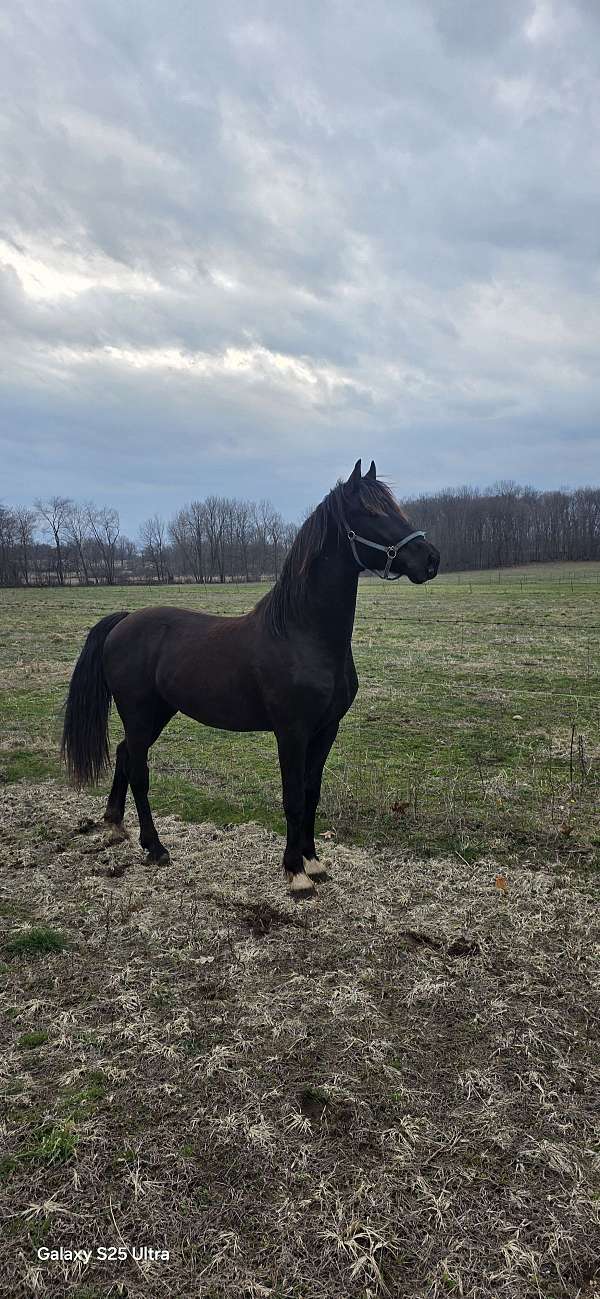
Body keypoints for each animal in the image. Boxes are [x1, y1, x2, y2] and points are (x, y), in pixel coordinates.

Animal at [61, 459, 440, 897]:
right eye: (372, 512)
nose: (431, 559)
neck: (302, 634)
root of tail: (124, 621)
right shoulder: (291, 731)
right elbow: (293, 797)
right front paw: (294, 872)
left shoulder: (326, 729)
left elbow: (311, 793)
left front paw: (313, 861)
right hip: (139, 714)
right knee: (139, 771)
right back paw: (155, 848)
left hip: (156, 715)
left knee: (123, 755)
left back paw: (116, 825)